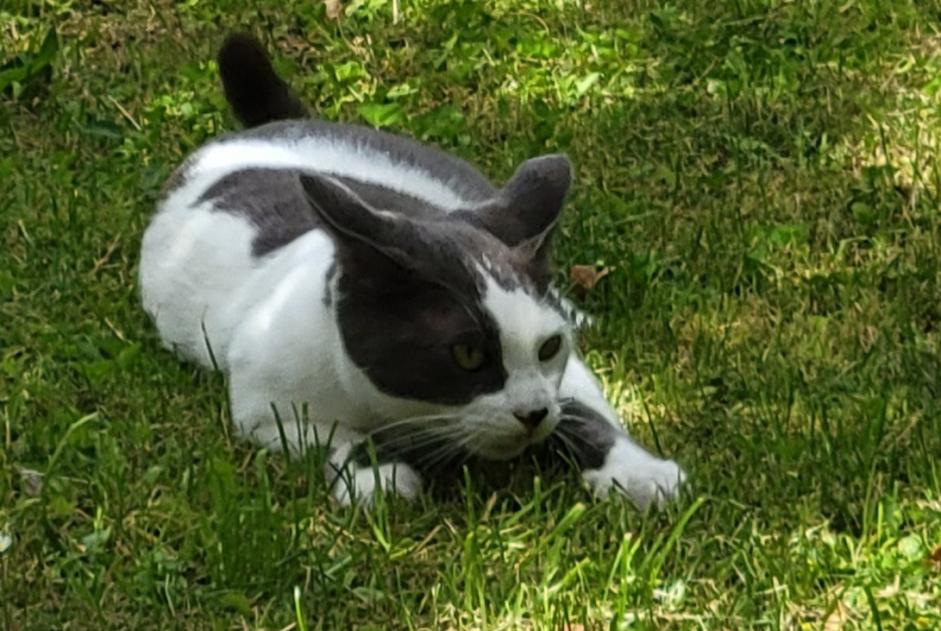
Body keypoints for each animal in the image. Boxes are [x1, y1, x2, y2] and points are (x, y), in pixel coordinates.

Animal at [140, 32, 684, 512]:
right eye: (467, 354)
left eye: (548, 347)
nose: (532, 413)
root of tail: (275, 128)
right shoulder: (266, 408)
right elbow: (335, 435)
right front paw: (376, 477)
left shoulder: (565, 379)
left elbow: (583, 409)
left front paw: (640, 473)